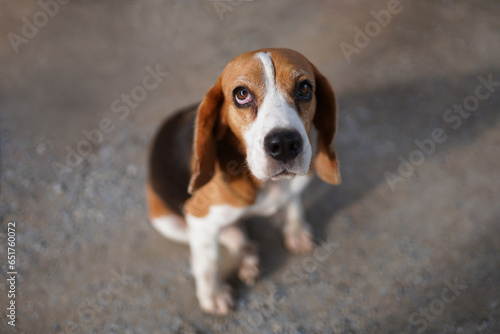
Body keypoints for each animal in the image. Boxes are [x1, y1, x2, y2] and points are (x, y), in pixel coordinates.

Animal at [145, 48, 340, 314]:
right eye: (242, 94)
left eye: (304, 88)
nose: (284, 144)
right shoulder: (198, 217)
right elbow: (207, 262)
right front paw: (213, 294)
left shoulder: (296, 187)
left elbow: (294, 205)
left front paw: (296, 229)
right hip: (165, 220)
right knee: (227, 235)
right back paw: (245, 253)